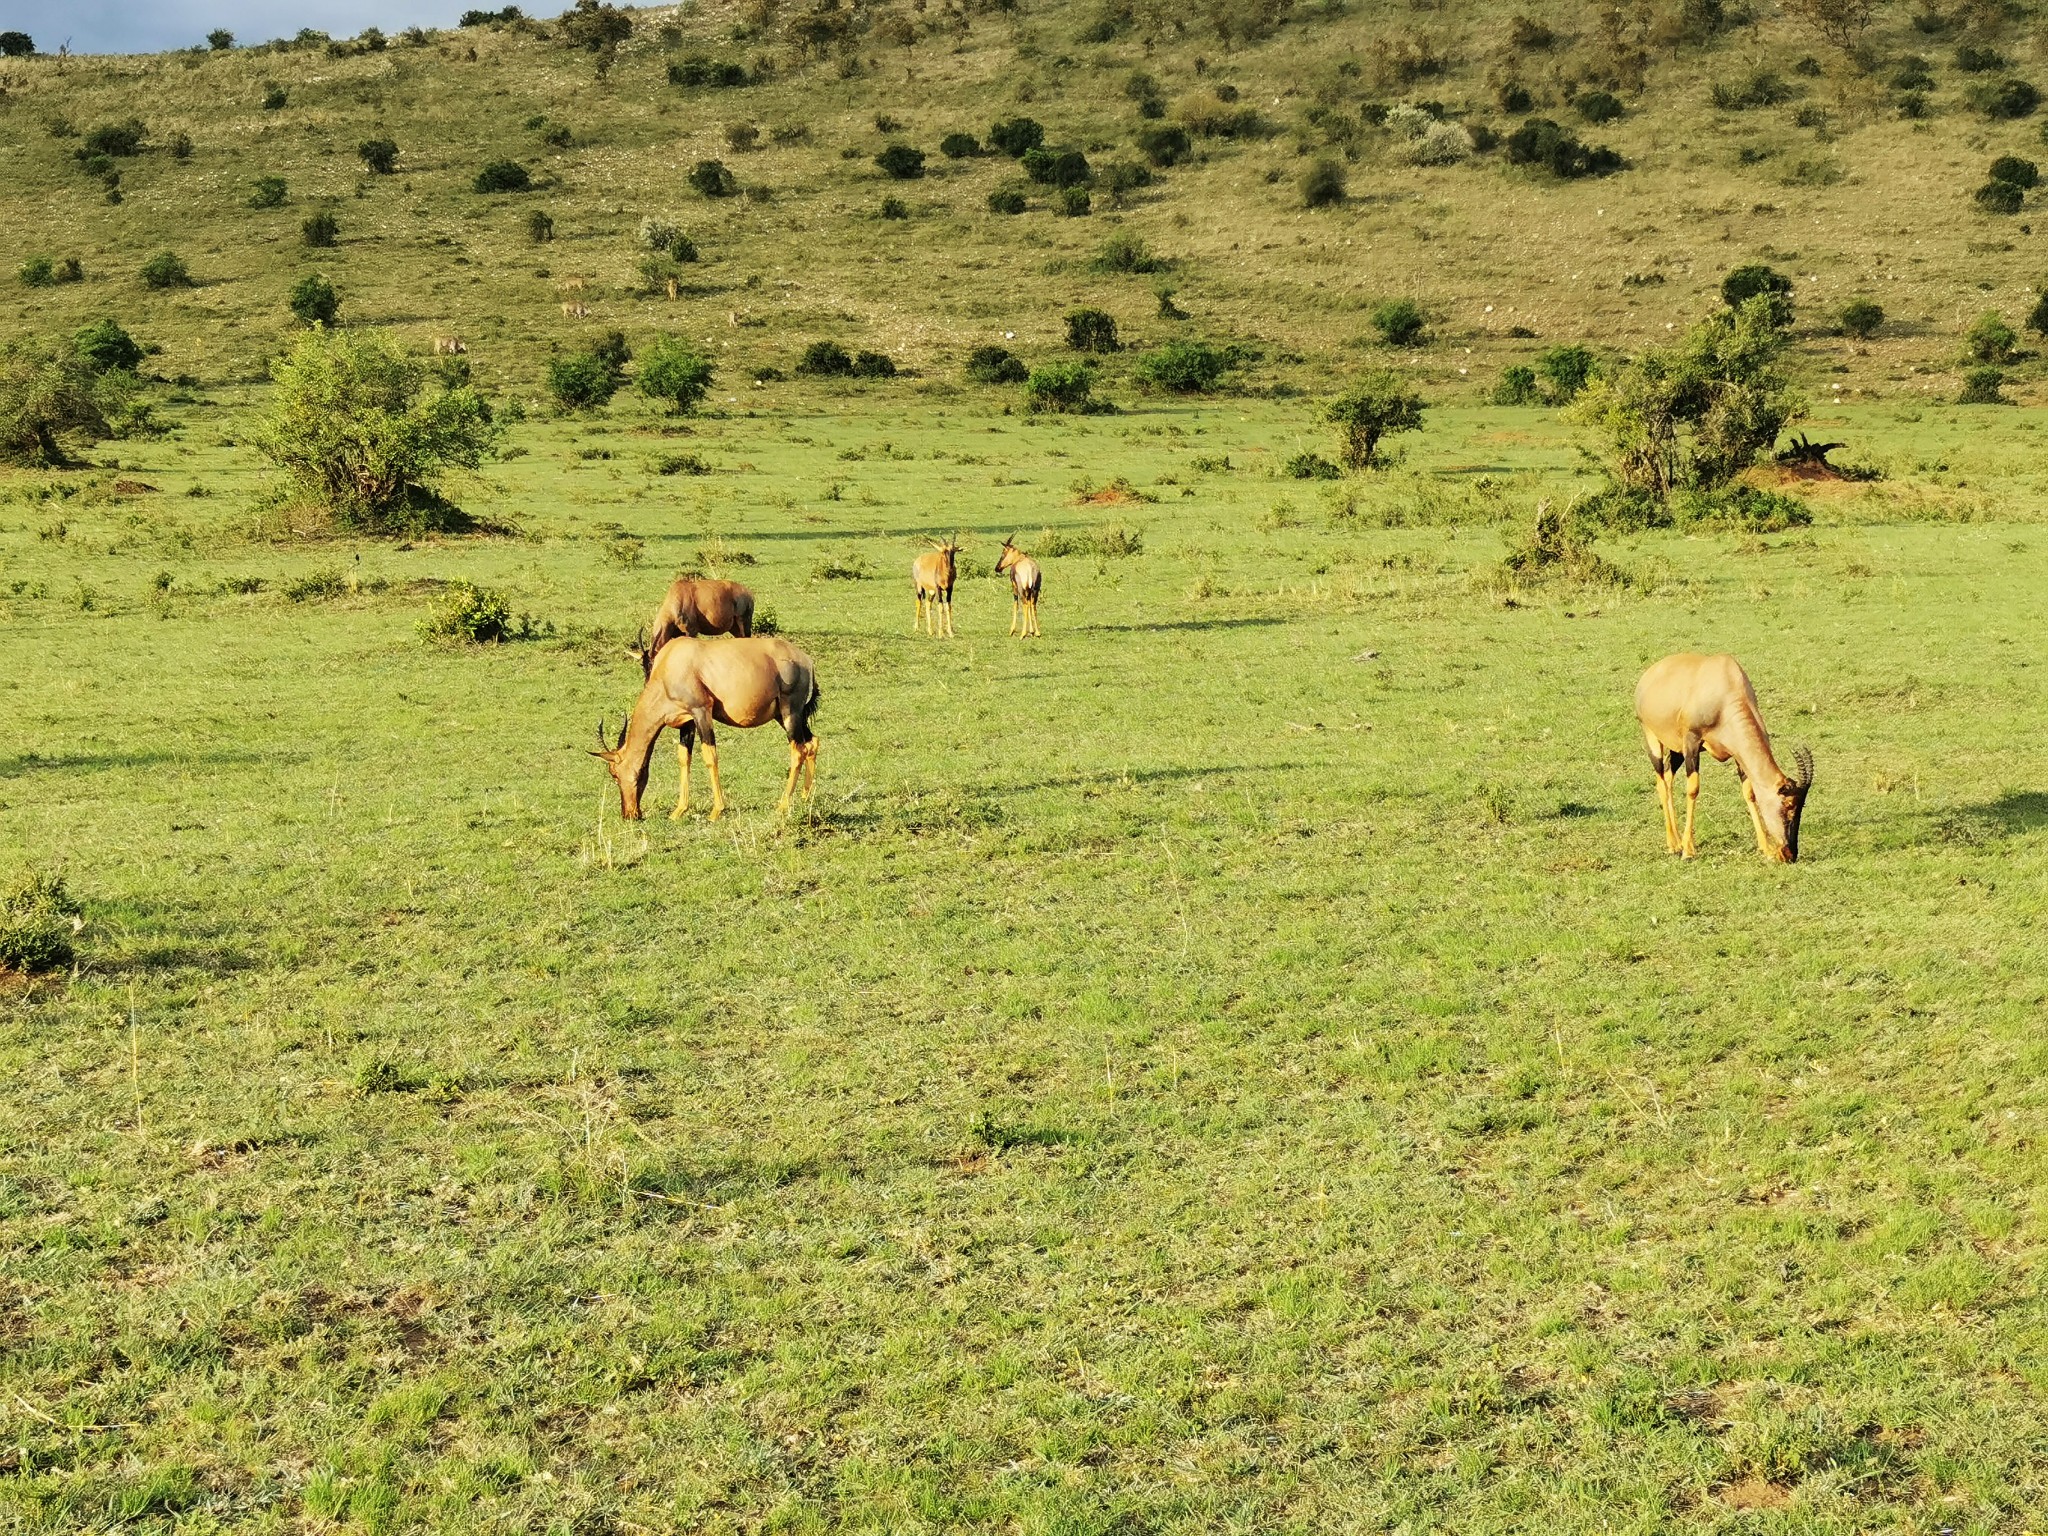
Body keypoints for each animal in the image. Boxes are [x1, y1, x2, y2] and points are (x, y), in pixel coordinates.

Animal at [589, 638, 819, 823]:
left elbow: (710, 756)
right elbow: (684, 758)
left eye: (614, 774)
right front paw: (678, 811)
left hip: (790, 710)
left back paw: (783, 805)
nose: (630, 815)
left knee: (797, 750)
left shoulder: (702, 711)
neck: (671, 662)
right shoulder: (687, 722)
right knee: (811, 742)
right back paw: (805, 797)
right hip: (783, 715)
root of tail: (805, 660)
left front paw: (716, 811)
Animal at [626, 577, 757, 679]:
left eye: (653, 664)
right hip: (734, 628)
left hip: (743, 621)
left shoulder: (691, 631)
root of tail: (748, 593)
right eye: (643, 666)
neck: (677, 597)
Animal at [1638, 651, 1818, 868]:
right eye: (1788, 804)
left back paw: (1677, 842)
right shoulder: (1692, 742)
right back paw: (1674, 845)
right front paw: (1688, 851)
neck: (1725, 685)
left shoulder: (1737, 753)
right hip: (1653, 739)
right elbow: (1693, 790)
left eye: (1802, 805)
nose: (1789, 854)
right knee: (1661, 783)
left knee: (1668, 778)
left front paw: (1766, 849)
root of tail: (1648, 675)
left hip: (1676, 750)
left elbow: (1750, 792)